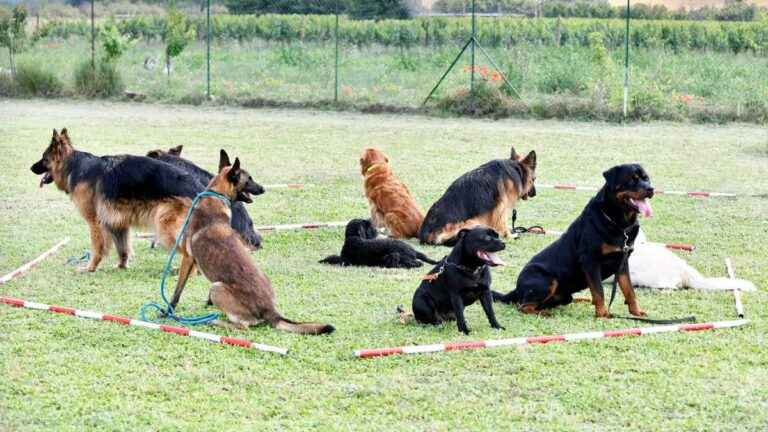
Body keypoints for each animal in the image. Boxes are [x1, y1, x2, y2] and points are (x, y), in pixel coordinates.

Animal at [30, 128, 206, 272]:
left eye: (44, 158)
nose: (30, 168)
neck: (74, 166)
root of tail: (198, 187)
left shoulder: (95, 222)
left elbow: (97, 248)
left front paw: (90, 268)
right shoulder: (117, 223)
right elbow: (123, 248)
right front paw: (122, 266)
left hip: (165, 228)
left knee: (190, 255)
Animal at [170, 150, 334, 336]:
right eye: (249, 179)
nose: (263, 189)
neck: (216, 196)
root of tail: (271, 311)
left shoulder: (188, 258)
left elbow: (177, 291)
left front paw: (167, 311)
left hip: (217, 287)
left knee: (243, 326)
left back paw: (216, 321)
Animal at [492, 164, 656, 318]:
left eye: (646, 178)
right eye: (632, 179)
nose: (651, 188)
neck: (620, 223)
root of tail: (516, 289)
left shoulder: (622, 262)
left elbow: (629, 290)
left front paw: (636, 312)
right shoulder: (590, 261)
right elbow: (599, 291)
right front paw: (603, 315)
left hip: (563, 295)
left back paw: (582, 300)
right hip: (547, 280)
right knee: (523, 306)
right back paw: (545, 313)